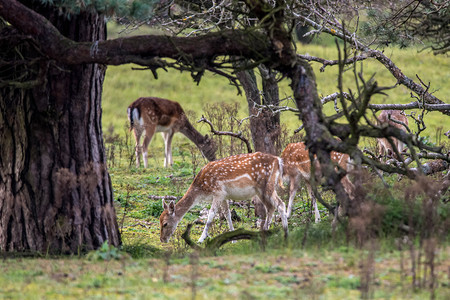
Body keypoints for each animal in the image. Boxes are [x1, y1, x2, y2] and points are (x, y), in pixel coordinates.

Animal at [160, 152, 290, 244]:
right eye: (160, 221)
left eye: (165, 224)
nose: (162, 239)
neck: (201, 190)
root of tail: (278, 160)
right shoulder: (224, 195)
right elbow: (227, 214)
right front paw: (233, 239)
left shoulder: (218, 192)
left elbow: (211, 215)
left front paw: (201, 239)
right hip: (260, 190)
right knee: (271, 207)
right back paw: (266, 232)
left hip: (267, 186)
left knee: (280, 204)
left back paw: (285, 234)